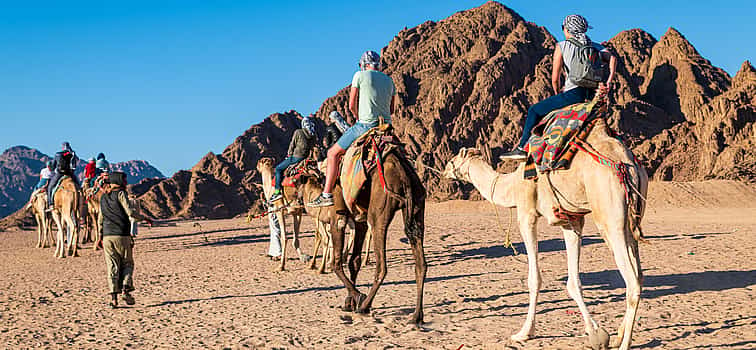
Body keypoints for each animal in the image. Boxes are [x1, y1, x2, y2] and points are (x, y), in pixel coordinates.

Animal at [334, 150, 428, 326]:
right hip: (417, 208)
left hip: (378, 213)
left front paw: (357, 298)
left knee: (382, 266)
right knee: (421, 265)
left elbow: (335, 263)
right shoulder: (359, 220)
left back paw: (364, 306)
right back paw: (416, 316)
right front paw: (349, 302)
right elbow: (354, 261)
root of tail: (403, 175)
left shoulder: (336, 216)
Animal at [442, 119, 648, 348]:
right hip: (631, 219)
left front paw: (524, 332)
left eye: (452, 159)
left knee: (632, 282)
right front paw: (594, 330)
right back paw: (619, 335)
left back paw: (625, 343)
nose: (444, 170)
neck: (512, 185)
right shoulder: (571, 220)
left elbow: (534, 279)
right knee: (639, 275)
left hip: (610, 216)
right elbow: (573, 283)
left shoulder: (527, 214)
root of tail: (627, 165)